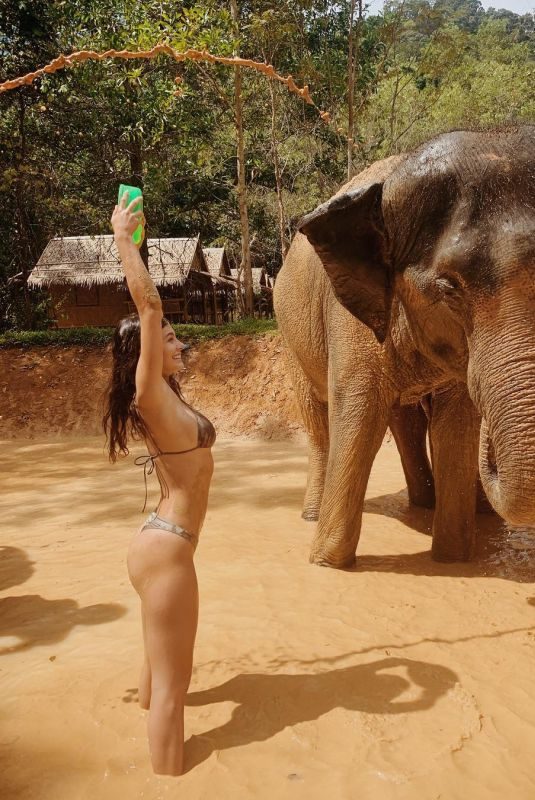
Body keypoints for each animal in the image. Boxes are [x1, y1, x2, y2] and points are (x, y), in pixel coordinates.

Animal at [274, 126, 535, 568]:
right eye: (449, 288)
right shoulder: (350, 317)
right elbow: (358, 412)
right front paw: (327, 563)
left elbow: (455, 424)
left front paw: (452, 559)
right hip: (288, 331)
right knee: (318, 421)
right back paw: (311, 515)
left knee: (407, 420)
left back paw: (433, 505)